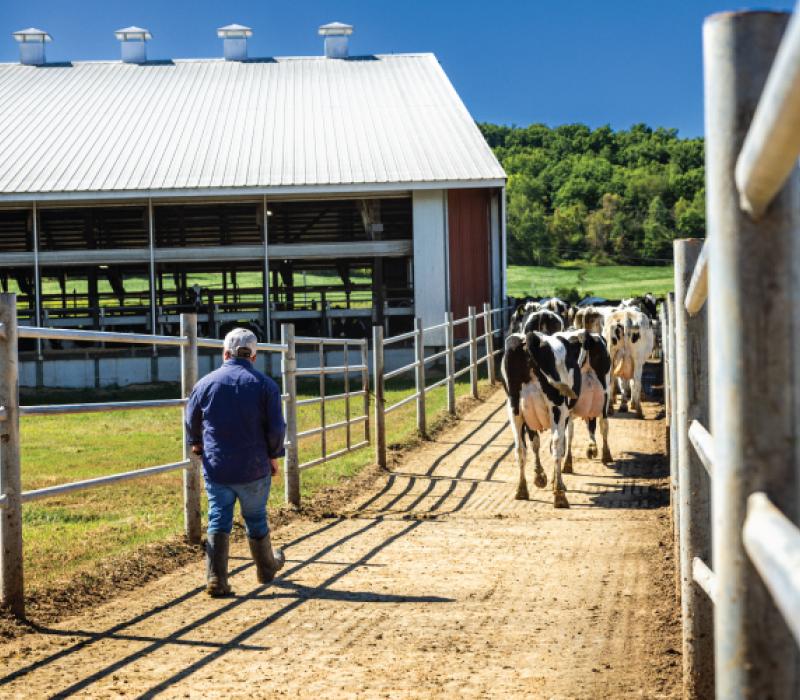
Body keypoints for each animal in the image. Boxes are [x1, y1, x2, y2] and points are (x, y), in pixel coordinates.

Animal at [500, 328, 612, 508]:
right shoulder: (566, 413)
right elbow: (565, 440)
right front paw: (553, 480)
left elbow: (535, 443)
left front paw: (540, 477)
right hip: (572, 403)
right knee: (590, 429)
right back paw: (561, 494)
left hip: (514, 409)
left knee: (520, 448)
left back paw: (522, 490)